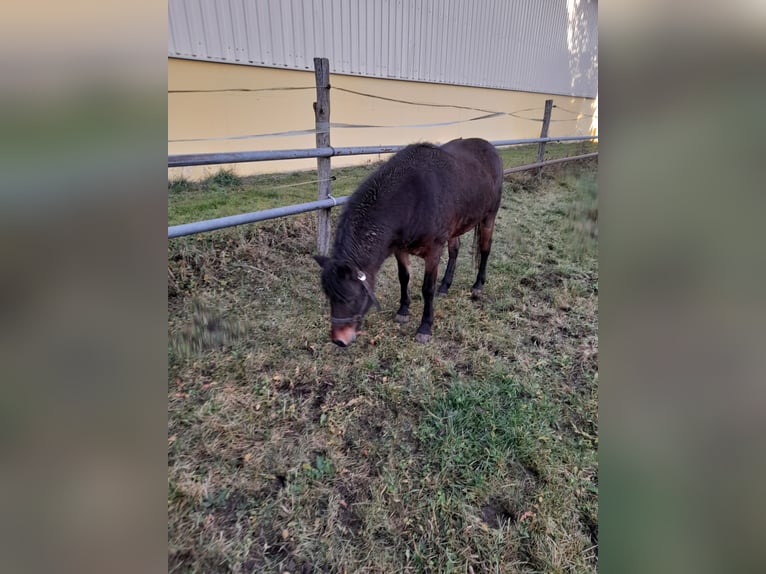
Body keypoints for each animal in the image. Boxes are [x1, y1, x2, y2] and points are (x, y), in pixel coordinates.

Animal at [314, 137, 503, 346]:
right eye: (329, 295)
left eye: (351, 297)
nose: (339, 340)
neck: (412, 198)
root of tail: (489, 147)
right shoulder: (400, 249)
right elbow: (404, 278)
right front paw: (403, 311)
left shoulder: (433, 251)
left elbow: (427, 288)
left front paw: (425, 327)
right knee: (455, 250)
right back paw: (445, 286)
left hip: (489, 216)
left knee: (485, 249)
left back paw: (478, 286)